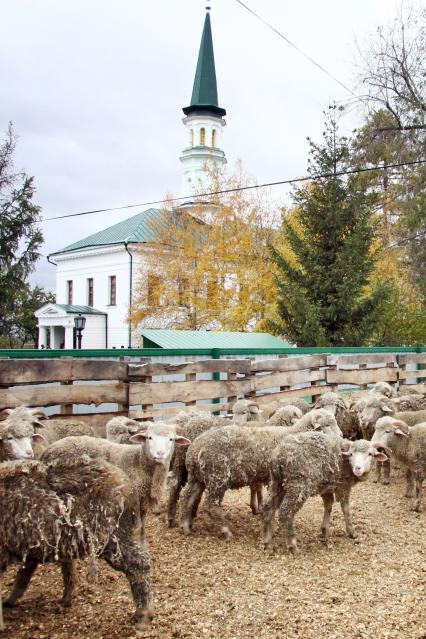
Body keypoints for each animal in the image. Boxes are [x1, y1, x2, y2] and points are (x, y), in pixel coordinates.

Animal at [0, 458, 153, 632]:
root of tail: (129, 487)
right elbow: (24, 573)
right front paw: (9, 601)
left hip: (114, 538)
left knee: (139, 566)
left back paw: (143, 617)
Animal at [42, 420, 191, 536]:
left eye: (171, 439)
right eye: (149, 437)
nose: (160, 454)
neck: (138, 462)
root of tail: (48, 450)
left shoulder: (143, 500)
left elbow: (142, 524)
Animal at [180, 410, 342, 540]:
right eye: (327, 425)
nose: (341, 435)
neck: (291, 433)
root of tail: (194, 448)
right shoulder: (273, 480)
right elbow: (273, 505)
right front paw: (273, 527)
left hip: (197, 477)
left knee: (187, 496)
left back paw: (185, 526)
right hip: (217, 477)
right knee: (210, 504)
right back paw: (226, 530)